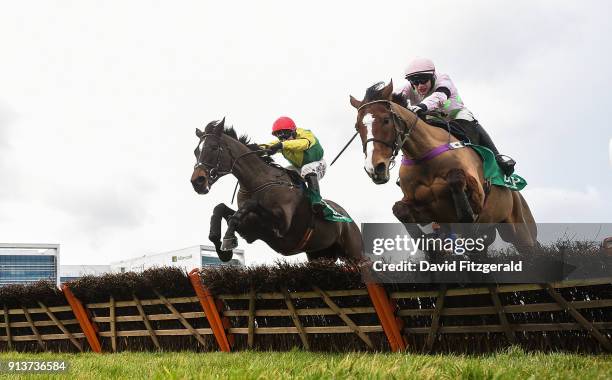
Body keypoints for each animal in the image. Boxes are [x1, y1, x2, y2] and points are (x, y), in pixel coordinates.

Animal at [190, 119, 364, 262]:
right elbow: (220, 209)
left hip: (355, 255)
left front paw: (227, 240)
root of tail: (348, 217)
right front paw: (221, 248)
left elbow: (250, 206)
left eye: (214, 147)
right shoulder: (250, 229)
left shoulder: (281, 226)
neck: (257, 182)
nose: (197, 181)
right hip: (320, 254)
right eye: (195, 151)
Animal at [352, 80, 536, 252]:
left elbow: (457, 180)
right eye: (357, 127)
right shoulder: (425, 211)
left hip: (521, 234)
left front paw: (465, 215)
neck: (423, 156)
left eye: (386, 120)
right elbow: (399, 209)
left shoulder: (478, 193)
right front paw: (428, 242)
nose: (374, 168)